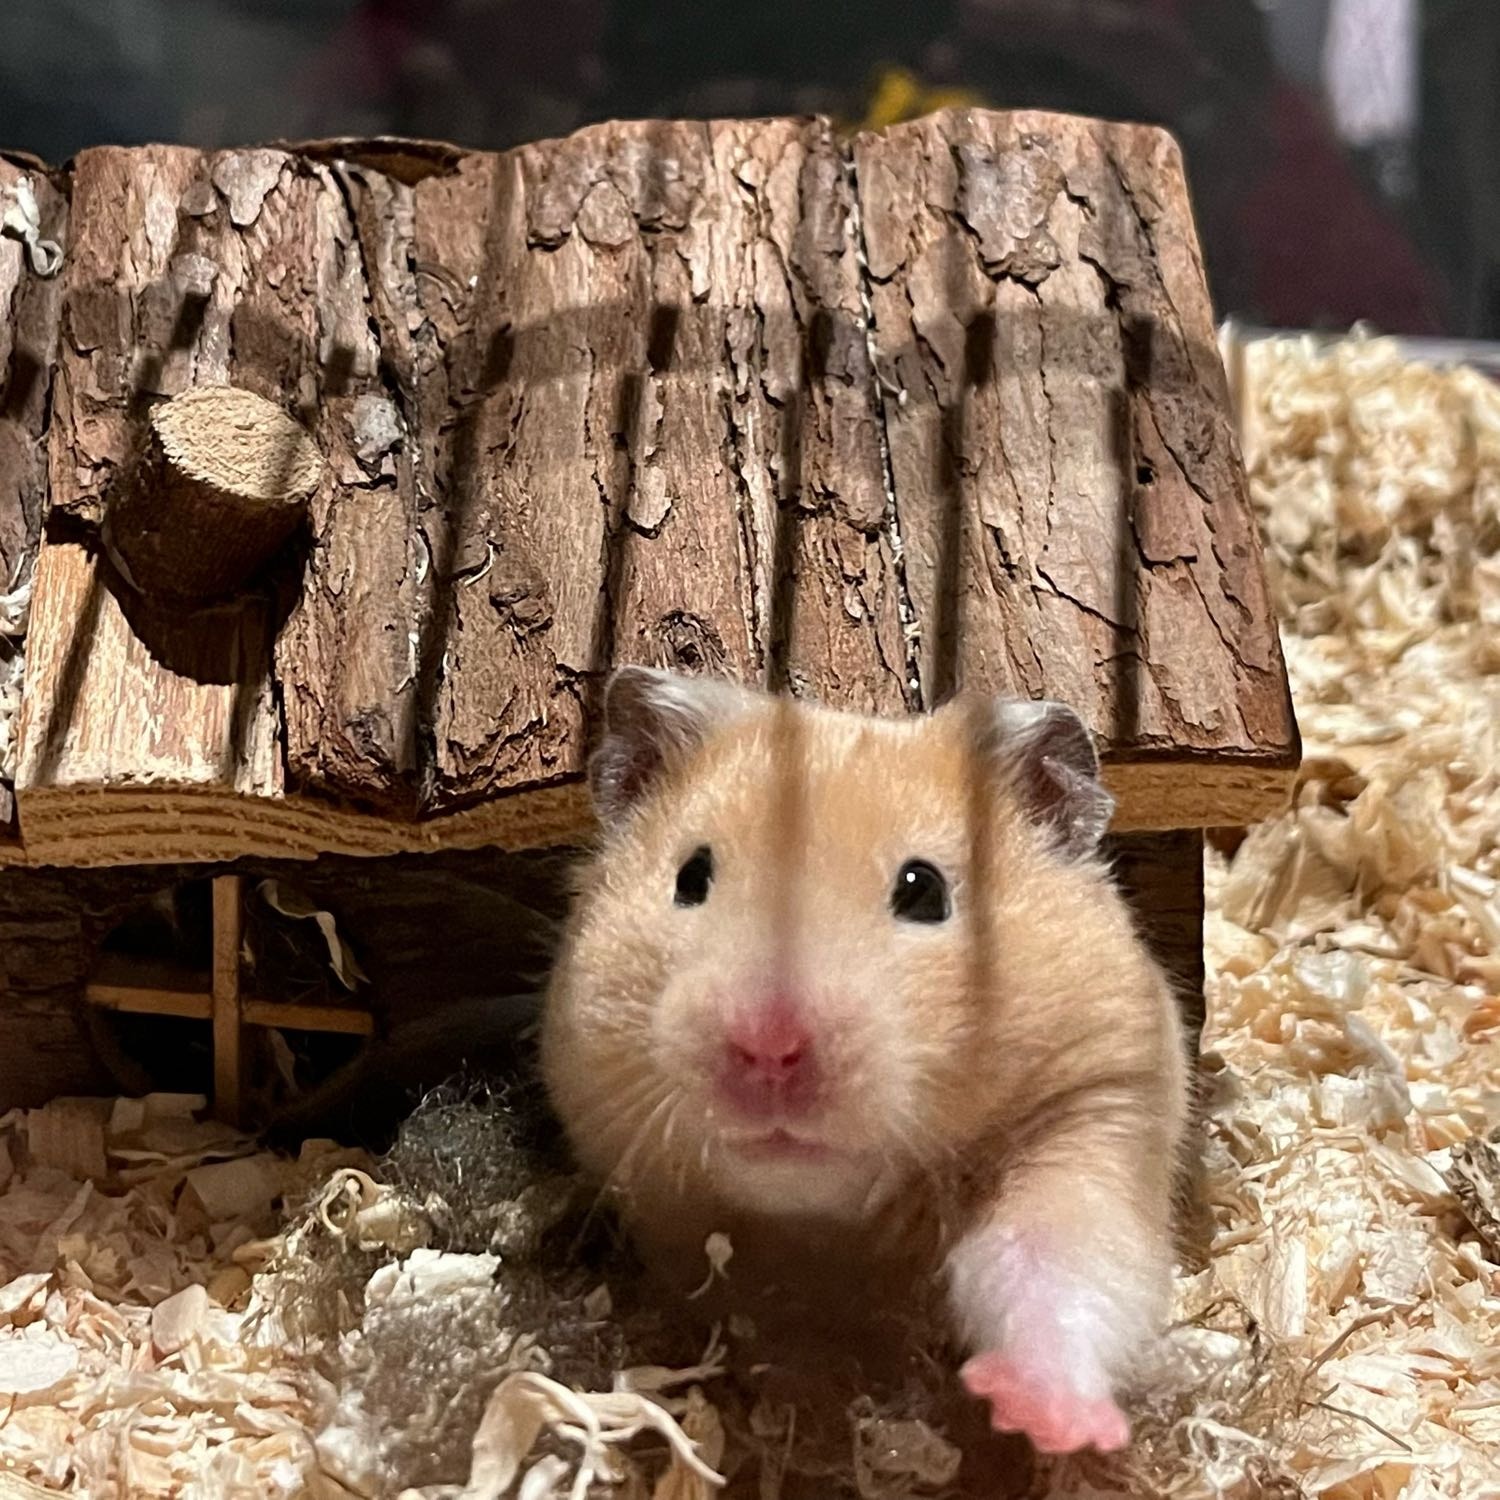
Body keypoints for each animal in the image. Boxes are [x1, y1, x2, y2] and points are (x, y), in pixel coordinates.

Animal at [541, 666, 1190, 1457]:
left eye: (925, 890)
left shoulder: (1098, 1100)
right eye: (691, 878)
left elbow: (1053, 1263)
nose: (768, 1047)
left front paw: (1047, 1419)